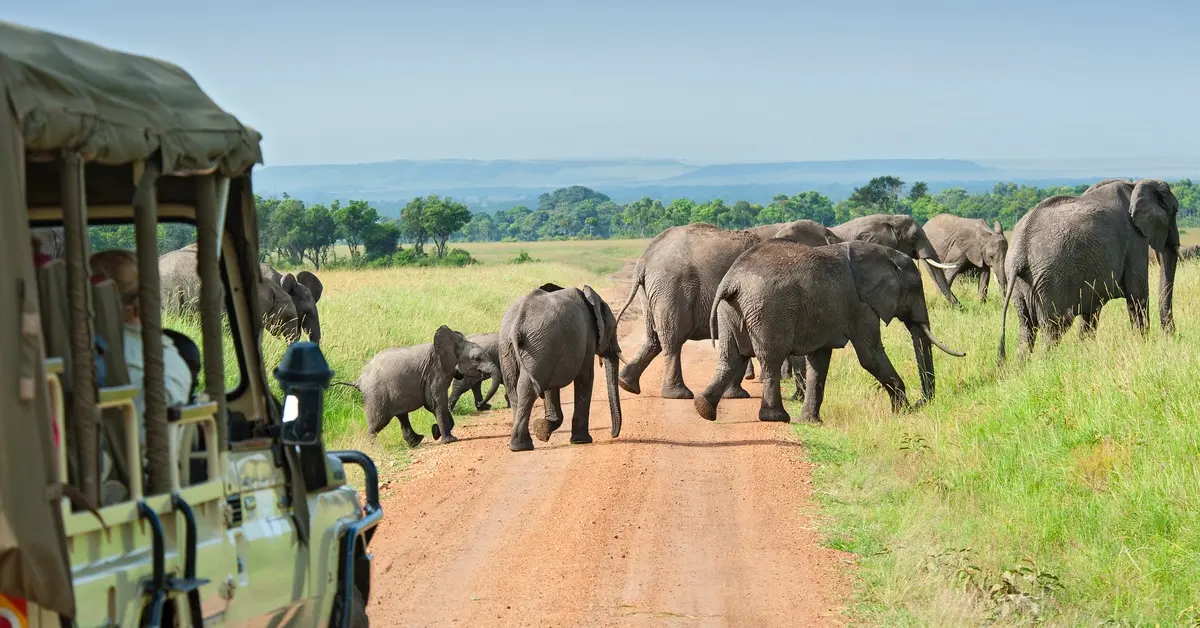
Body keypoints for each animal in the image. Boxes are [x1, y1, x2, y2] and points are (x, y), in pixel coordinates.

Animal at [337, 325, 497, 447]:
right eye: (477, 358)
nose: (481, 405)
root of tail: (359, 379)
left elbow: (433, 405)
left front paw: (436, 432)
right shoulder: (436, 372)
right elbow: (436, 403)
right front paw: (449, 440)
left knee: (402, 416)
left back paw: (416, 441)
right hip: (376, 395)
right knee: (378, 423)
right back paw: (373, 448)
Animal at [499, 282, 625, 452]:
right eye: (615, 328)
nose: (613, 435)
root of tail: (518, 321)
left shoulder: (553, 351)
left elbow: (551, 388)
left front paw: (542, 429)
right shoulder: (587, 339)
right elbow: (586, 377)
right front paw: (581, 441)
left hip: (513, 347)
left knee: (514, 389)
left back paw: (520, 445)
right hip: (536, 346)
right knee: (527, 388)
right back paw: (522, 446)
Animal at [614, 219, 839, 400]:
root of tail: (644, 260)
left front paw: (735, 395)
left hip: (652, 291)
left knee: (654, 338)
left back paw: (627, 384)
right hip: (671, 287)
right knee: (673, 338)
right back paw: (678, 395)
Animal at [694, 239, 966, 425]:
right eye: (916, 289)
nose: (922, 403)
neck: (883, 255)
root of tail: (732, 280)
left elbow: (820, 360)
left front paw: (811, 422)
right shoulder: (861, 305)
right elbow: (870, 356)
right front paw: (902, 412)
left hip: (731, 310)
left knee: (731, 357)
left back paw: (703, 408)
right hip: (768, 309)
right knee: (770, 358)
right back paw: (777, 417)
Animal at [998, 178, 1179, 360]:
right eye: (1176, 210)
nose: (1171, 337)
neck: (1134, 184)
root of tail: (1019, 252)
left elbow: (1091, 310)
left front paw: (1085, 351)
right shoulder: (1134, 240)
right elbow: (1137, 295)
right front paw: (1142, 345)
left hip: (1021, 283)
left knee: (1026, 329)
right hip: (1050, 281)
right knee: (1055, 326)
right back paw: (1046, 362)